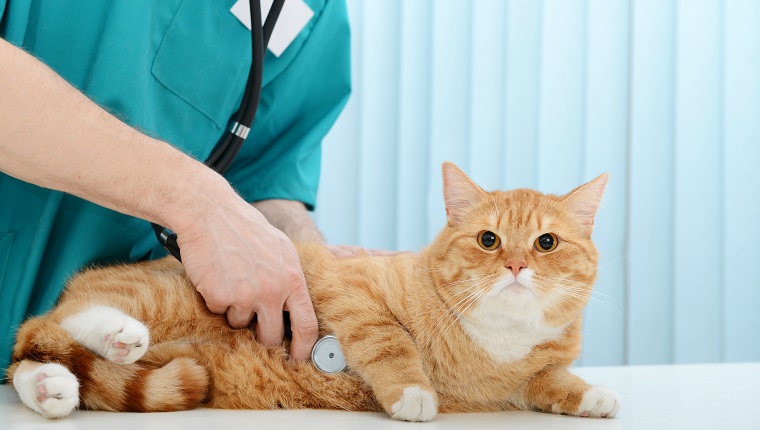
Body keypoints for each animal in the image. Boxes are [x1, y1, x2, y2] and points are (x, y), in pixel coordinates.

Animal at [4, 161, 616, 420]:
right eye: (489, 240)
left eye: (545, 242)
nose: (515, 265)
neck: (495, 341)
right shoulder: (354, 293)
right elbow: (389, 342)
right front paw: (412, 392)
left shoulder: (525, 378)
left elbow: (551, 381)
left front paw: (591, 396)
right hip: (154, 298)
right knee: (48, 326)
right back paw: (115, 333)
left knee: (43, 358)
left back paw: (53, 390)